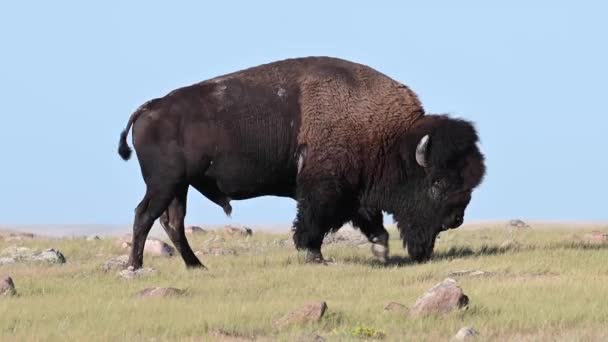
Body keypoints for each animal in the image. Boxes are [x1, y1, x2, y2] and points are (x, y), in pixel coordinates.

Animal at [117, 56, 484, 270]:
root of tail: (150, 108)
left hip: (179, 187)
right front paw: (315, 256)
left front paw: (381, 251)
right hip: (164, 183)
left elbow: (371, 223)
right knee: (144, 215)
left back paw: (196, 266)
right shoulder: (324, 191)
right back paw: (135, 266)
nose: (456, 219)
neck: (390, 139)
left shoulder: (355, 194)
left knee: (172, 222)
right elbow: (313, 224)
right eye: (437, 182)